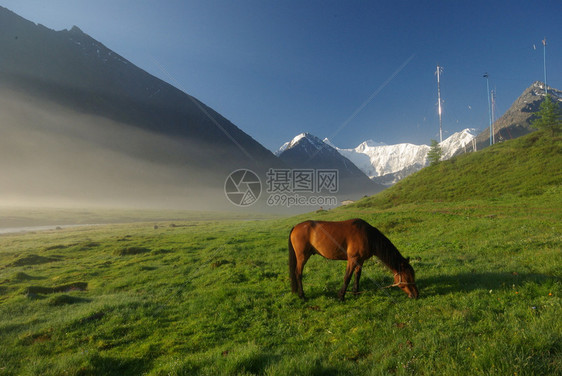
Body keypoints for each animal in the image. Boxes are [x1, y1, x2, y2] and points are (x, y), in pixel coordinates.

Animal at [288, 217, 416, 300]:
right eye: (407, 277)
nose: (416, 295)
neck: (368, 236)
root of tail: (296, 227)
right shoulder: (352, 259)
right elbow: (347, 277)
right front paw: (341, 297)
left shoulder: (360, 260)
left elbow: (357, 276)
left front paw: (356, 293)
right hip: (302, 257)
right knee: (298, 273)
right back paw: (302, 296)